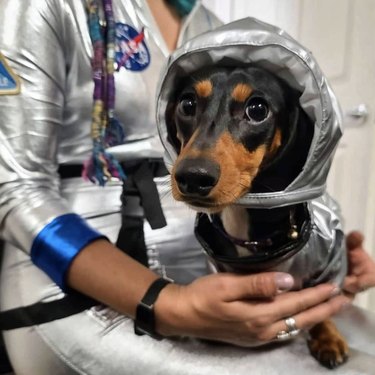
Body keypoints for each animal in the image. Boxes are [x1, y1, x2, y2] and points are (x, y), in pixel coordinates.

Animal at [164, 65, 350, 370]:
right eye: (187, 104)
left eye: (258, 109)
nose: (192, 176)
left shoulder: (331, 262)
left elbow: (324, 305)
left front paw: (328, 338)